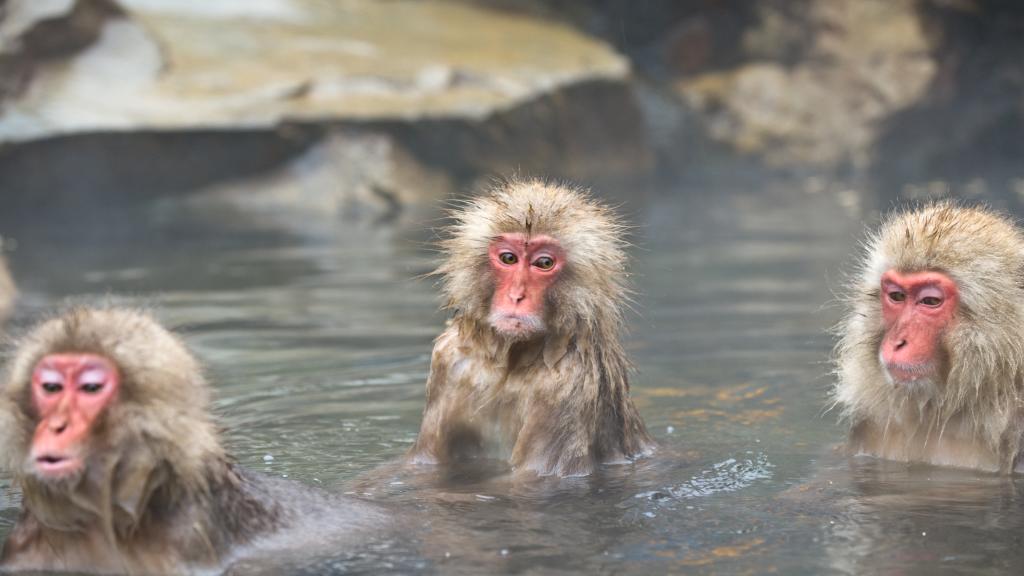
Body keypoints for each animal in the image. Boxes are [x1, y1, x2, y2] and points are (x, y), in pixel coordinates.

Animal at [409, 178, 655, 475]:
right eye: (509, 258)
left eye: (544, 263)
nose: (516, 296)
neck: (513, 361)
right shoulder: (449, 359)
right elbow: (426, 463)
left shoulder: (567, 384)